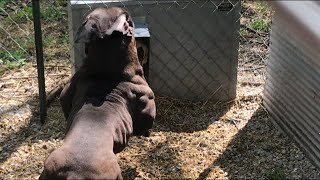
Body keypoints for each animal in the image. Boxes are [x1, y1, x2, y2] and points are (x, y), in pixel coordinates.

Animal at [39, 6, 157, 179]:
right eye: (129, 19)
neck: (105, 70)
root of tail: (74, 174)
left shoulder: (66, 92)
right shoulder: (148, 103)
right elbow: (146, 123)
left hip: (47, 170)